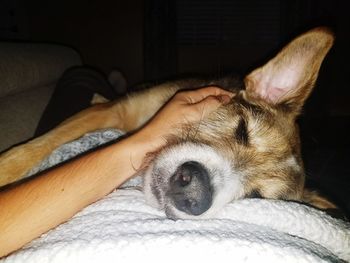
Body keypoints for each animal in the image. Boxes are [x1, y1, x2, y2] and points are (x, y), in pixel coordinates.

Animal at [0, 27, 336, 221]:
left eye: (256, 196)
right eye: (243, 128)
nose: (194, 193)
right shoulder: (116, 111)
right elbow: (39, 145)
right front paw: (7, 168)